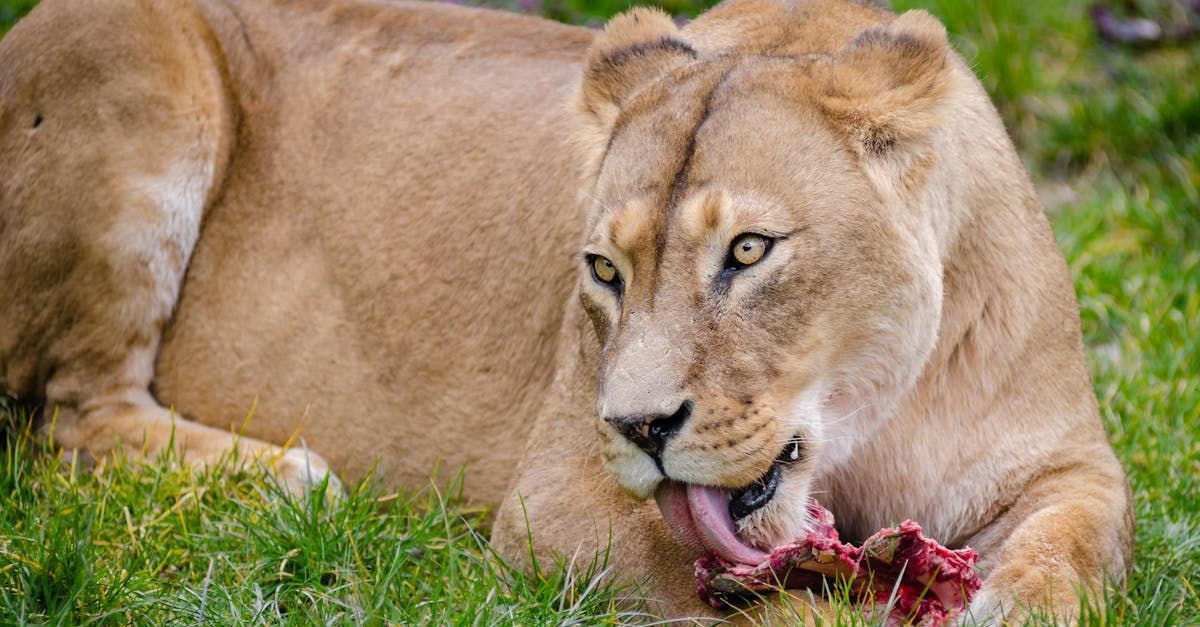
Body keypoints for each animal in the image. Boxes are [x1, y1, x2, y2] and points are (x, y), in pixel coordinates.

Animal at [0, 0, 1132, 621]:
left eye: (749, 251)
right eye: (605, 270)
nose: (638, 426)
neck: (860, 418)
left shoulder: (1064, 462)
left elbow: (1076, 545)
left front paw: (1016, 605)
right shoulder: (554, 502)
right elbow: (773, 609)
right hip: (128, 56)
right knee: (73, 416)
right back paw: (289, 475)